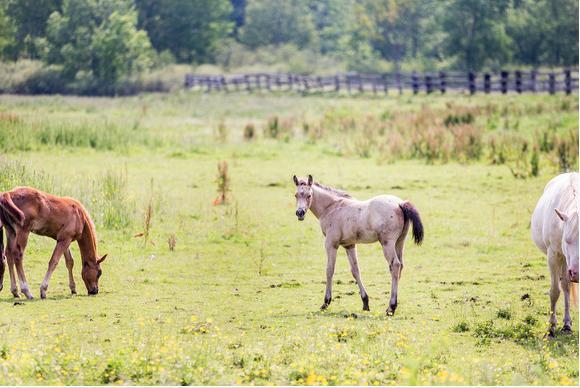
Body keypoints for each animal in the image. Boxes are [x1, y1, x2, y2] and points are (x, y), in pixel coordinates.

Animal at [292, 176, 424, 316]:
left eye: (309, 195)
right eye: (296, 195)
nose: (300, 213)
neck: (331, 207)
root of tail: (400, 203)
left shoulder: (331, 243)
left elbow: (329, 270)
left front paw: (326, 302)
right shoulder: (349, 245)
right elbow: (355, 270)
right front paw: (365, 302)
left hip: (387, 243)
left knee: (395, 265)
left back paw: (391, 307)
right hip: (400, 242)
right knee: (400, 266)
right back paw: (394, 305)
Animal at [532, 173, 576, 336]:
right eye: (567, 240)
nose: (576, 272)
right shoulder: (553, 255)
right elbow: (555, 291)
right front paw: (551, 327)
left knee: (566, 286)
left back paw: (567, 323)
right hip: (562, 259)